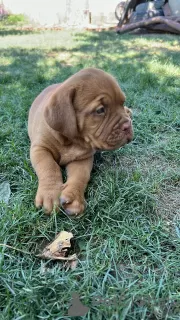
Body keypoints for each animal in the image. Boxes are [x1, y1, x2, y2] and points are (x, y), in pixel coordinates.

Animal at [27, 68, 132, 216]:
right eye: (100, 110)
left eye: (122, 102)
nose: (128, 126)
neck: (69, 140)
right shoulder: (40, 148)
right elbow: (49, 167)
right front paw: (49, 194)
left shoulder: (83, 158)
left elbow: (80, 175)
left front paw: (74, 198)